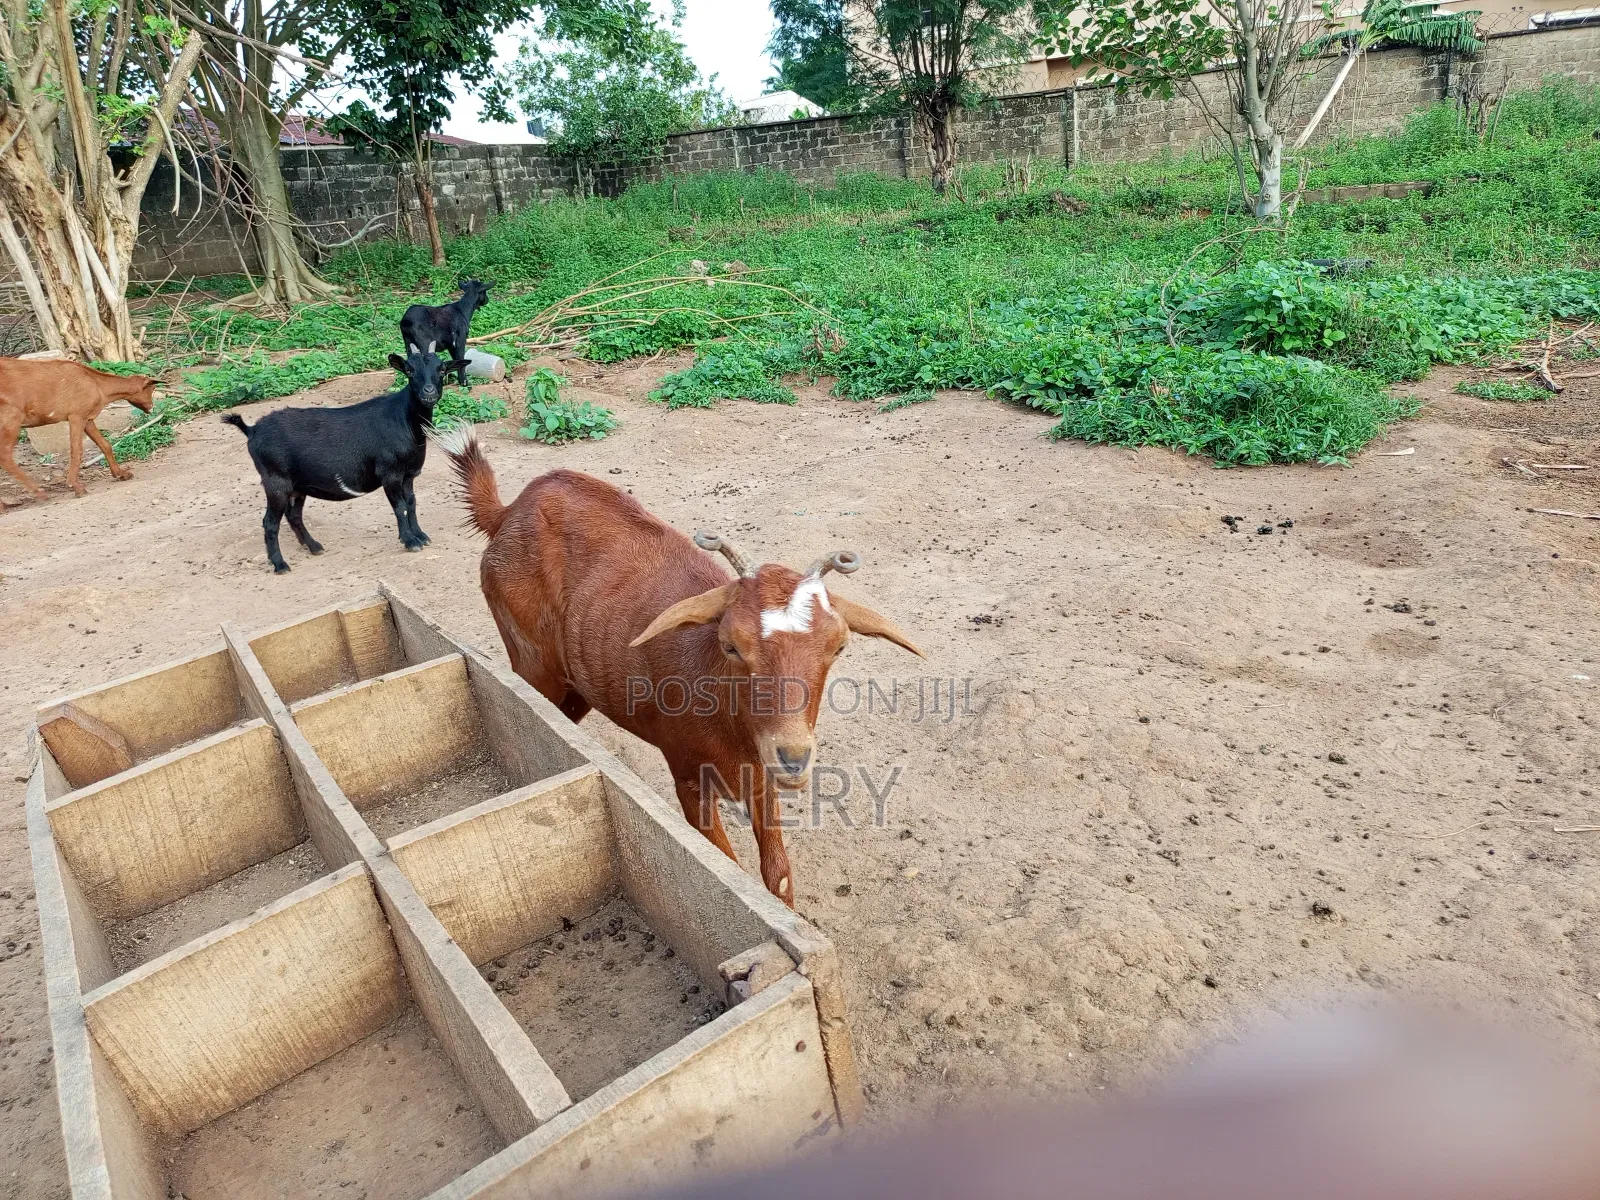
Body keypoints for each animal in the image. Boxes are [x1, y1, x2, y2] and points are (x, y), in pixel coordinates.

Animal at [0, 358, 156, 501]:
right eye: (151, 390)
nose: (152, 408)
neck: (97, 384)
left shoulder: (87, 418)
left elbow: (105, 444)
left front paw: (121, 473)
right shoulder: (76, 416)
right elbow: (77, 450)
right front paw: (75, 486)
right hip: (11, 418)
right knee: (5, 455)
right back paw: (39, 492)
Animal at [223, 348, 466, 573]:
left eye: (442, 369)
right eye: (409, 370)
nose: (429, 392)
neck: (403, 420)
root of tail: (251, 430)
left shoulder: (409, 474)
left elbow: (412, 503)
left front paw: (421, 535)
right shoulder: (390, 473)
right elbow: (399, 506)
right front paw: (409, 541)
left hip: (297, 485)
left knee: (293, 515)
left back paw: (314, 546)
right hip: (275, 481)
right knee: (270, 523)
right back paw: (280, 564)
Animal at [442, 427, 923, 907]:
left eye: (839, 646)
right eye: (731, 646)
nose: (793, 759)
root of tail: (509, 512)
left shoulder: (760, 776)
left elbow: (778, 876)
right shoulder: (689, 776)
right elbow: (728, 866)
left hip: (578, 682)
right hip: (530, 661)